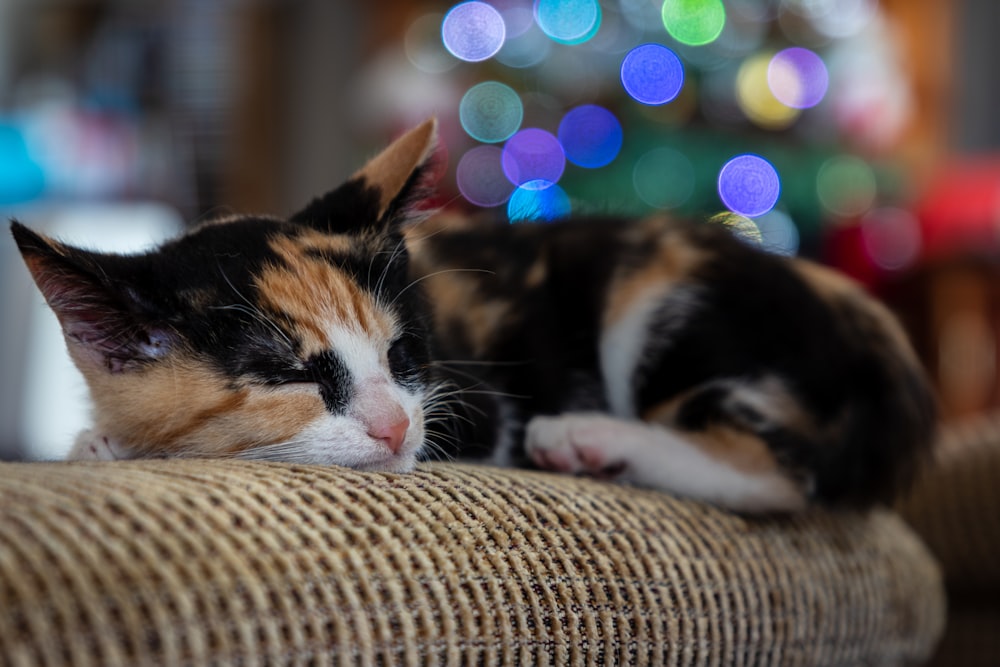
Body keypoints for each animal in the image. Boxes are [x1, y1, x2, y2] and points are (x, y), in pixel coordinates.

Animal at [11, 120, 936, 516]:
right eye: (294, 374)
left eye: (401, 354)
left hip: (666, 300)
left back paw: (588, 438)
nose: (392, 426)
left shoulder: (474, 400)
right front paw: (98, 445)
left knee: (781, 474)